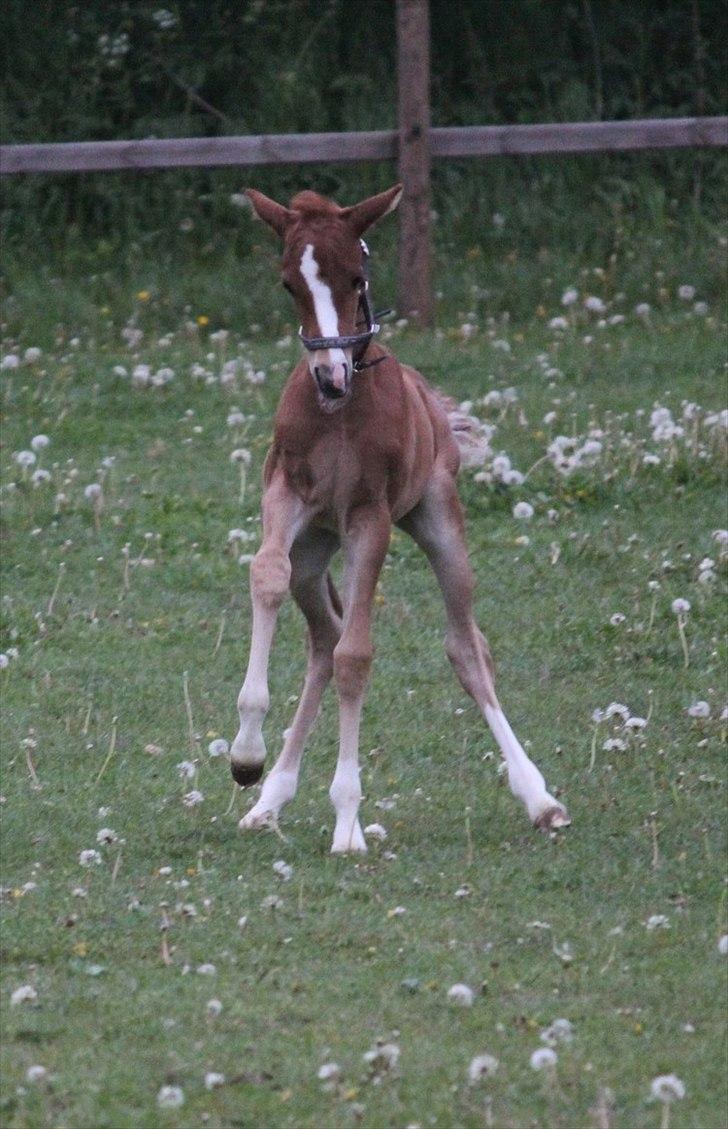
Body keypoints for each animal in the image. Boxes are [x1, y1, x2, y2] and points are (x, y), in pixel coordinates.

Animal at [229, 187, 568, 853]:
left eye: (355, 277)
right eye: (289, 284)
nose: (330, 375)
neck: (339, 412)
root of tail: (429, 399)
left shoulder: (371, 518)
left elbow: (358, 657)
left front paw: (346, 822)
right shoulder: (285, 496)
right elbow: (266, 576)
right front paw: (245, 755)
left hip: (439, 526)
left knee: (465, 648)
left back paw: (539, 797)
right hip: (314, 550)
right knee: (322, 639)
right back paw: (270, 795)